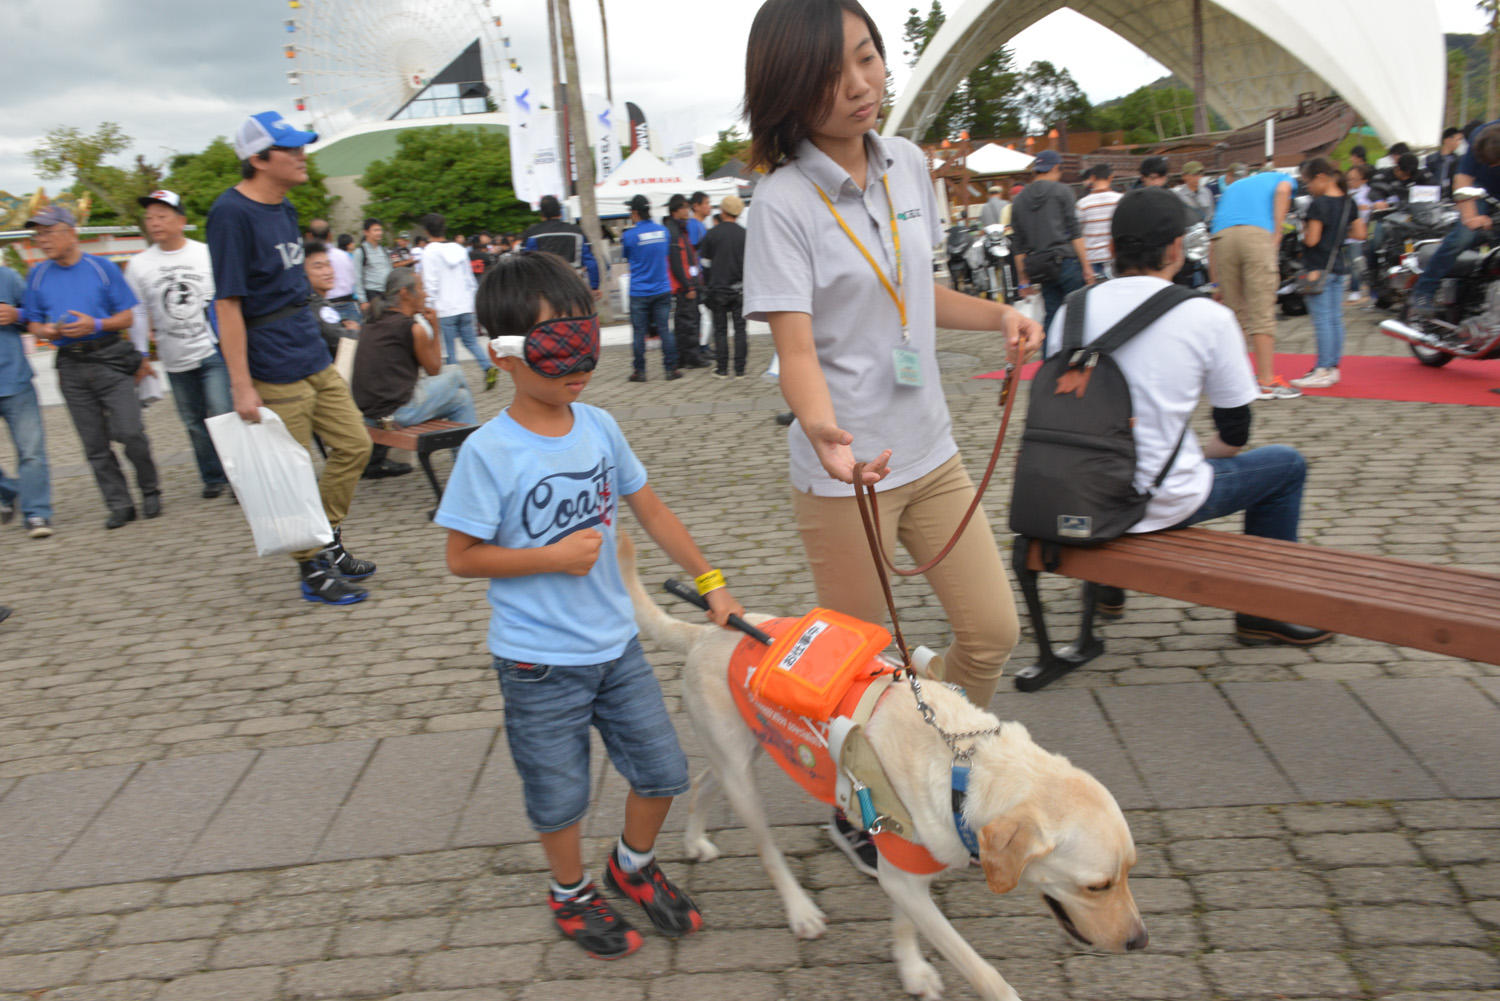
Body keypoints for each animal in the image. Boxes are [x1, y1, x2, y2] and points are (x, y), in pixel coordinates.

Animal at [621, 537, 1146, 1001]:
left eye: (1129, 872)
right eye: (1097, 885)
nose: (1140, 942)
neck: (964, 771)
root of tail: (710, 630)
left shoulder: (906, 868)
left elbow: (905, 925)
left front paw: (910, 970)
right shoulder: (905, 874)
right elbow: (978, 968)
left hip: (745, 750)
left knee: (702, 782)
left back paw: (694, 841)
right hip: (743, 773)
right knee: (767, 849)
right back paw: (800, 911)